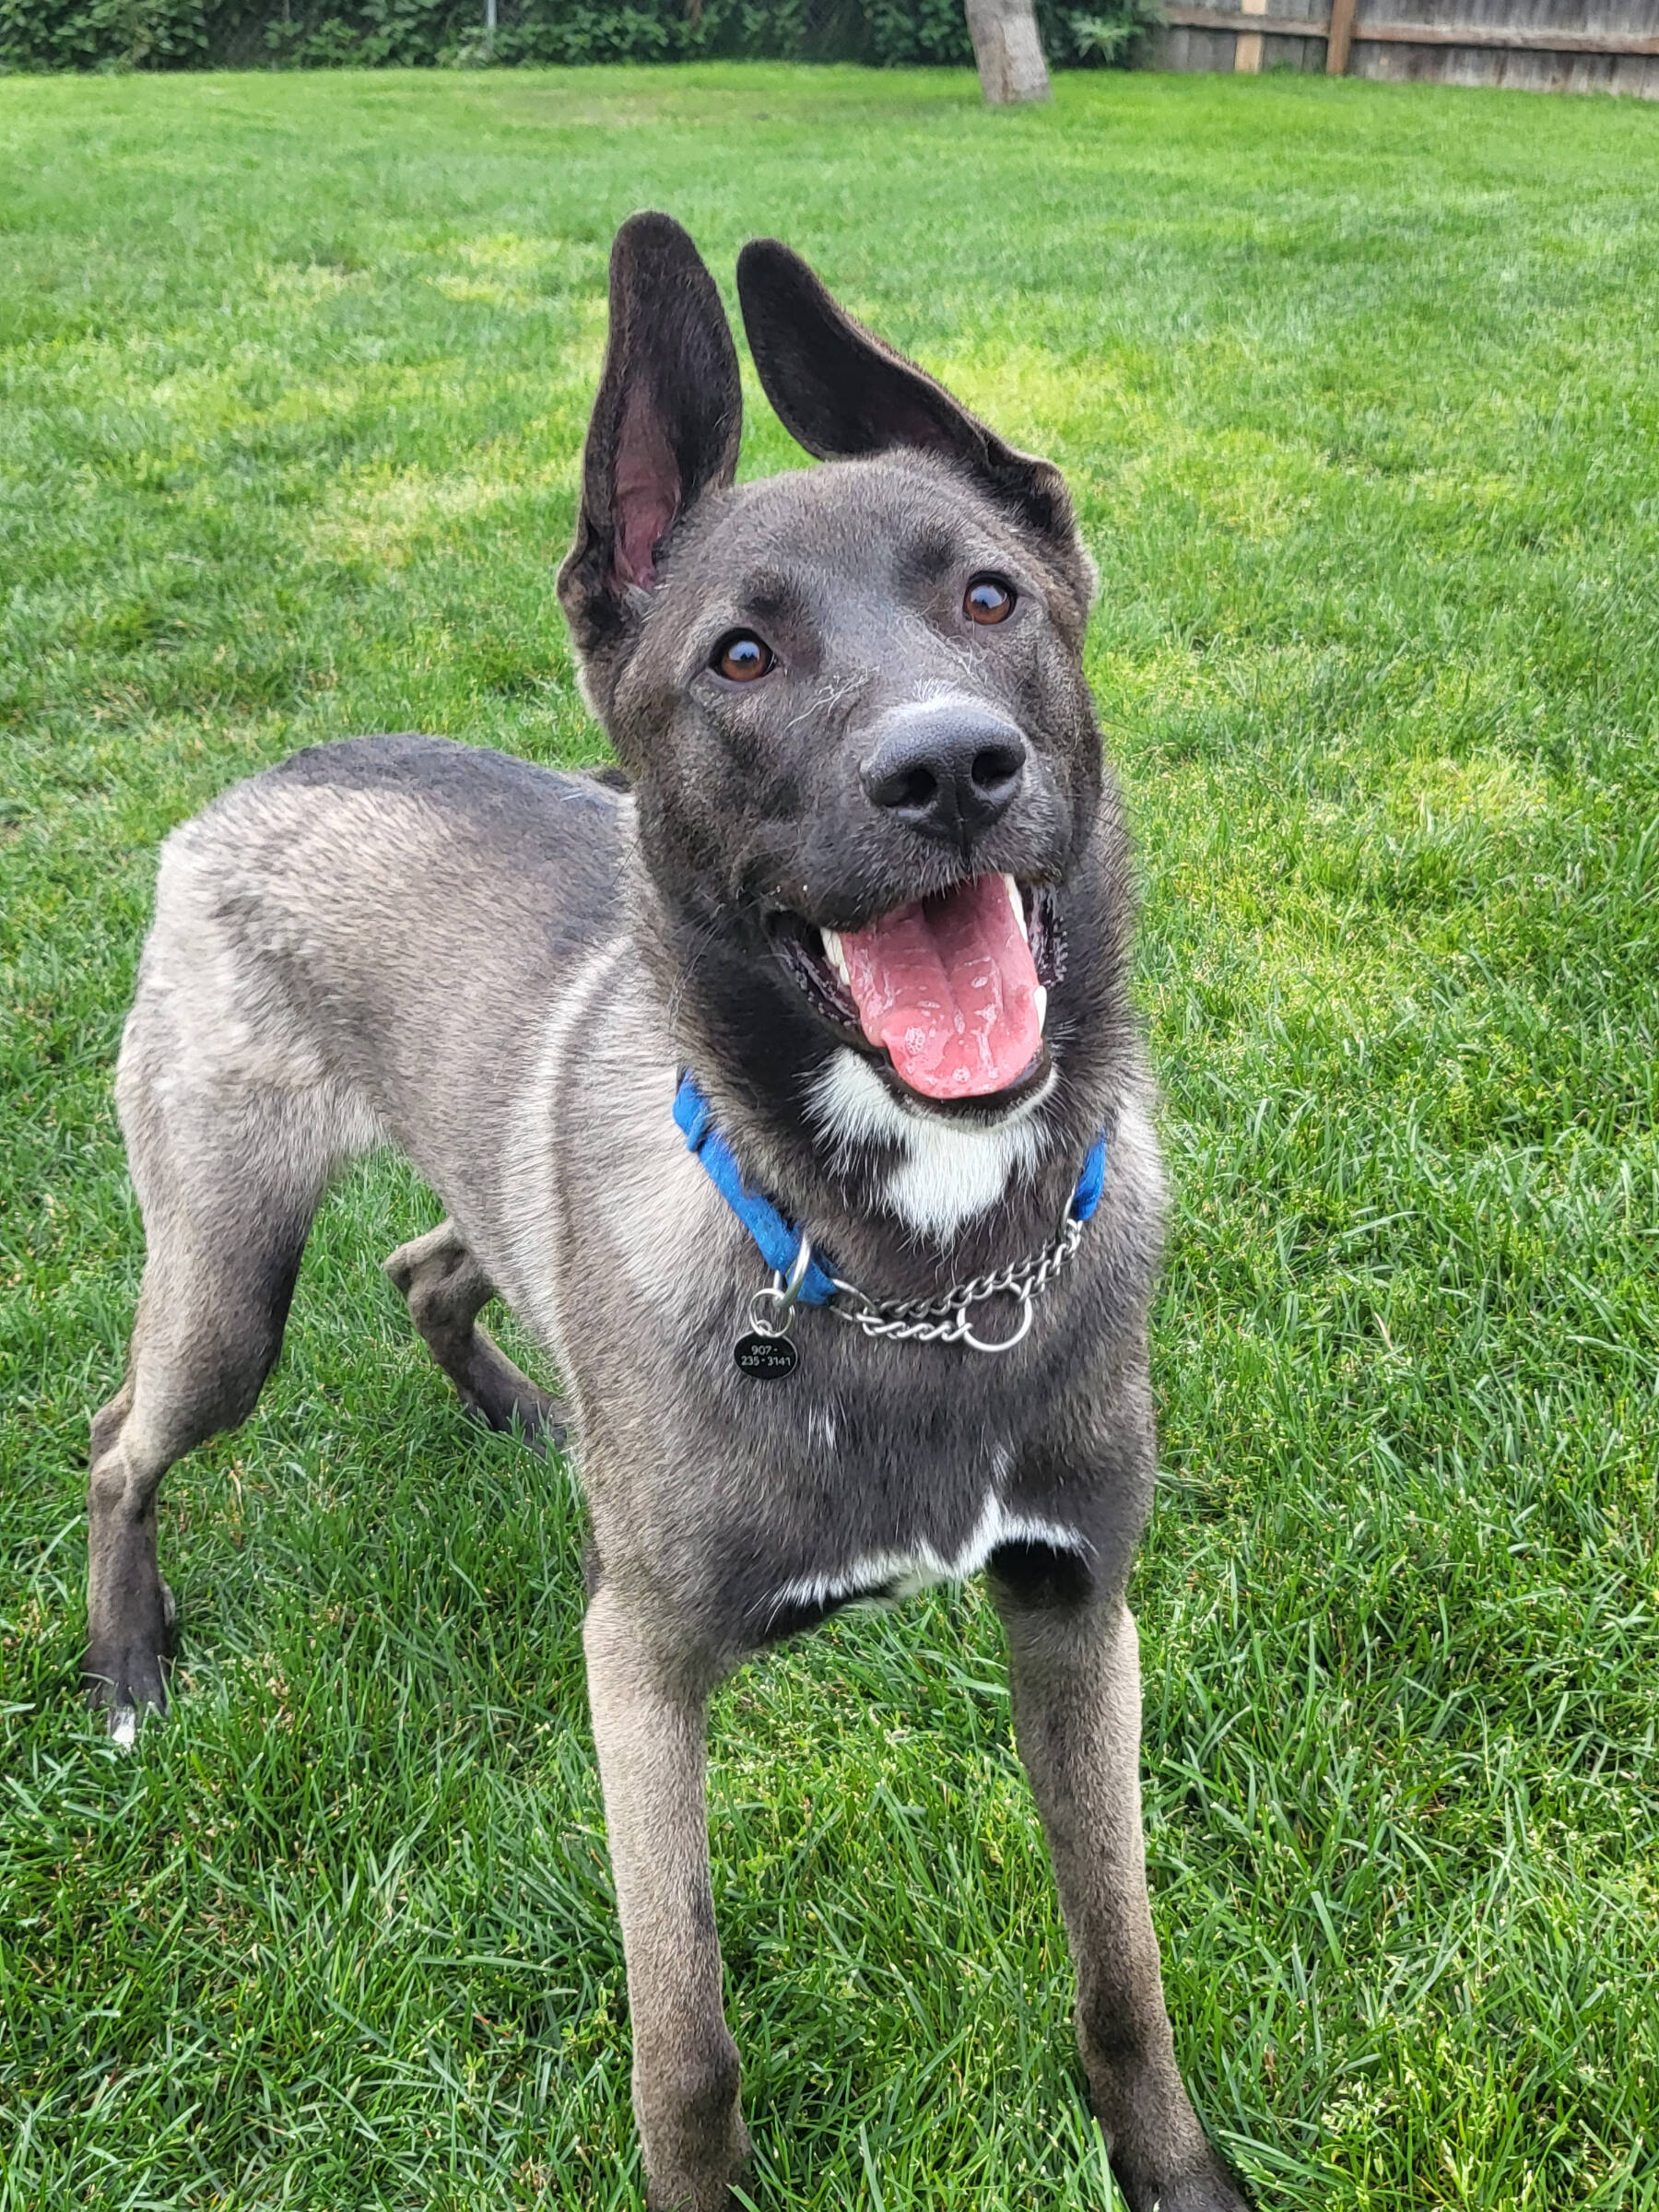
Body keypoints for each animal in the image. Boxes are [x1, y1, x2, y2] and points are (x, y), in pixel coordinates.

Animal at [77, 211, 1247, 2212]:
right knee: (116, 1438)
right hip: (224, 1283)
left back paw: (520, 1411)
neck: (907, 1267)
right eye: (742, 654)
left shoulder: (1077, 1614)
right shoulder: (641, 1677)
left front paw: (1174, 2170)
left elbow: (1124, 1968)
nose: (950, 770)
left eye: (991, 598)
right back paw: (129, 1656)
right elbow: (683, 2043)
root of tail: (245, 787)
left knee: (429, 1262)